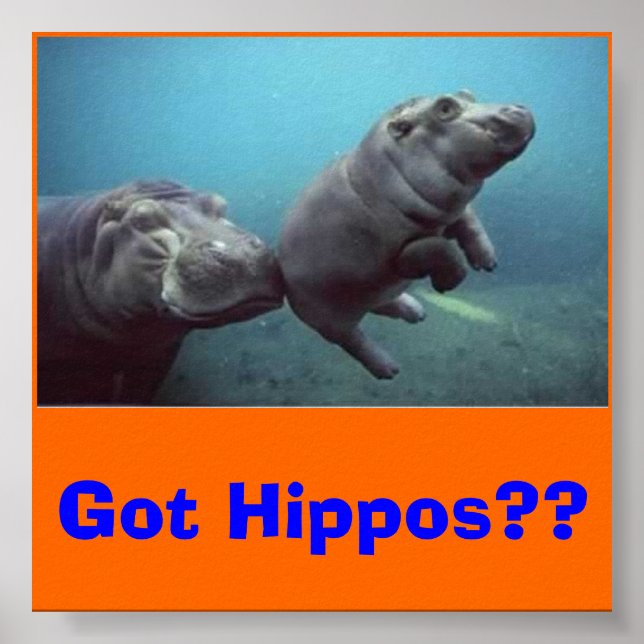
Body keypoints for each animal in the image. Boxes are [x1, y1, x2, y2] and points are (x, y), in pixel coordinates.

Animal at [278, 91, 535, 378]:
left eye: (467, 93)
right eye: (444, 108)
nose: (518, 109)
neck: (381, 167)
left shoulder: (453, 210)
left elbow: (471, 225)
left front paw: (487, 262)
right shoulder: (400, 256)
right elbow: (441, 249)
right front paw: (447, 285)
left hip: (369, 292)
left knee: (382, 304)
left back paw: (416, 312)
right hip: (329, 320)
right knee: (354, 340)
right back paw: (388, 369)